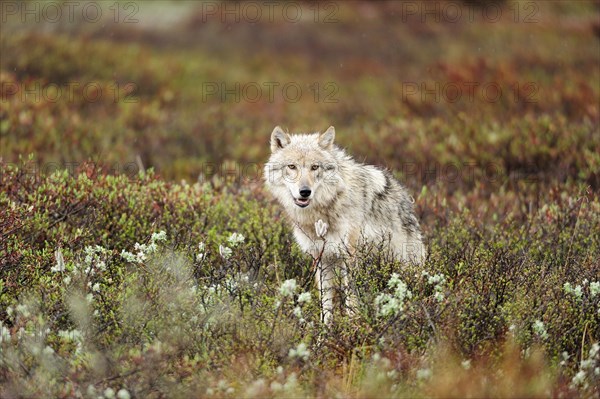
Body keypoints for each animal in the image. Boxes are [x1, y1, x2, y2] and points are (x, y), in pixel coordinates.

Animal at [264, 126, 426, 324]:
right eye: (292, 166)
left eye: (314, 167)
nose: (305, 192)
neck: (323, 211)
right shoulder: (321, 258)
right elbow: (325, 304)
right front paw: (325, 331)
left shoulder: (350, 257)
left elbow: (352, 301)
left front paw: (353, 327)